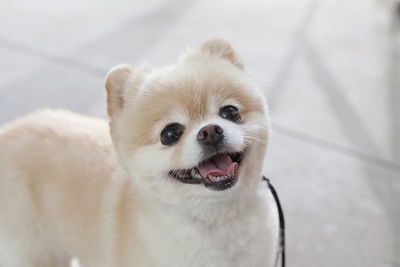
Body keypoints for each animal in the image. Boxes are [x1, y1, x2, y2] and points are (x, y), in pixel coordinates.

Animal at [0, 38, 278, 267]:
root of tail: (8, 131)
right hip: (31, 251)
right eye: (170, 134)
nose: (210, 131)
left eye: (230, 112)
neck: (217, 220)